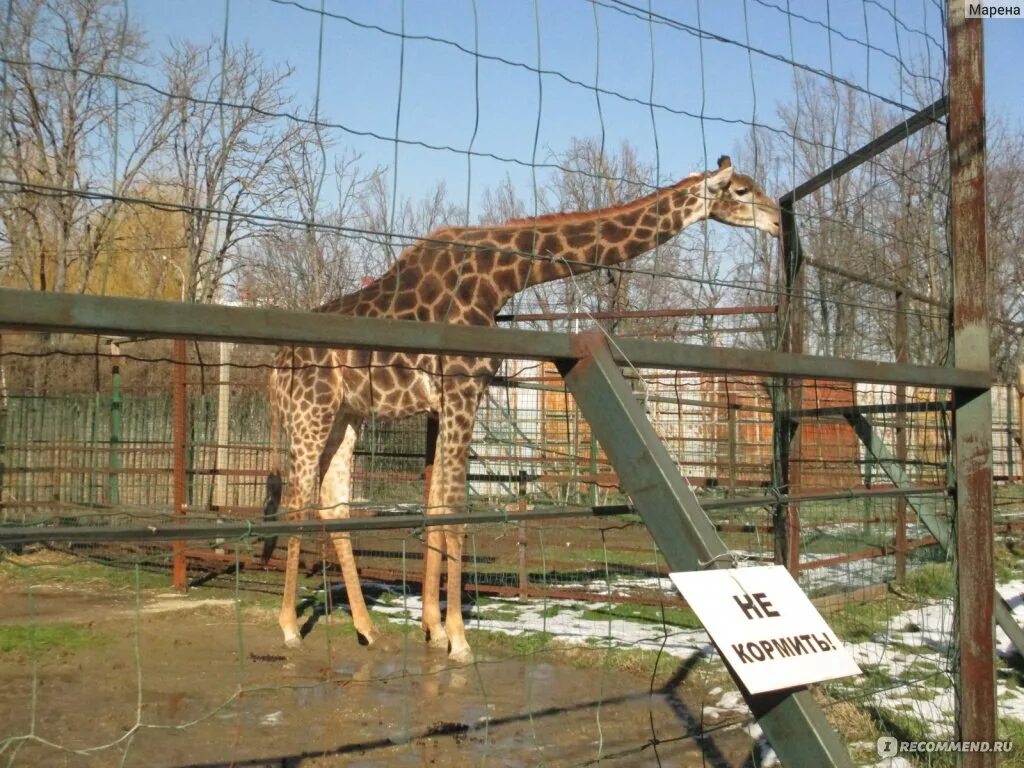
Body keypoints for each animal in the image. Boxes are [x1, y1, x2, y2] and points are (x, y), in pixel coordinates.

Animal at [268, 154, 778, 663]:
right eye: (741, 190)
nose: (777, 221)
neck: (501, 276)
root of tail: (275, 367)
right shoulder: (462, 388)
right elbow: (456, 511)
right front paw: (458, 639)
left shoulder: (446, 402)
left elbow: (436, 507)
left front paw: (433, 628)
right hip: (310, 412)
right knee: (296, 505)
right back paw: (290, 628)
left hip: (344, 417)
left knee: (333, 508)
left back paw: (368, 629)